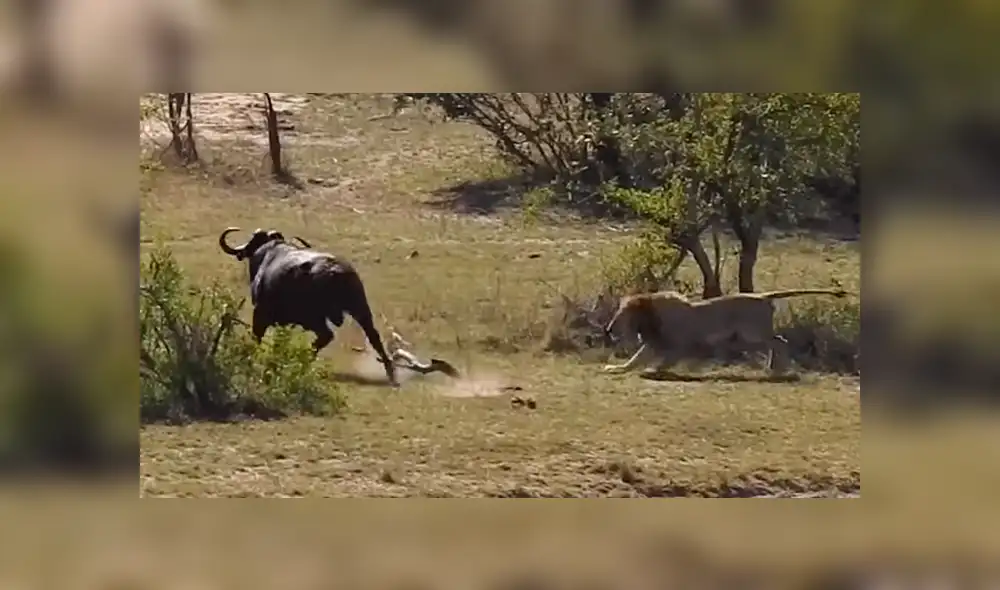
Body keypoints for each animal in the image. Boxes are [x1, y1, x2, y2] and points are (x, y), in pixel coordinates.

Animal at [601, 288, 848, 376]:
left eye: (622, 314)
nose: (609, 328)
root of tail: (762, 296)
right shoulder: (653, 343)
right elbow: (634, 360)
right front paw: (615, 368)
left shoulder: (679, 345)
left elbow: (664, 361)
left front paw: (652, 370)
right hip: (745, 339)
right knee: (776, 342)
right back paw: (772, 367)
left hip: (751, 334)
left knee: (780, 341)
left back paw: (780, 369)